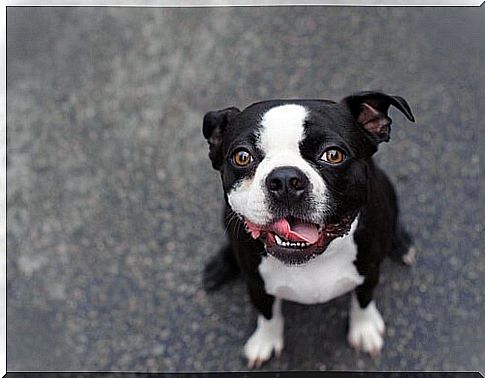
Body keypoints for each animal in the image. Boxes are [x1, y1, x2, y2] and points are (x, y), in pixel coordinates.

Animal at [200, 90, 416, 368]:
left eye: (333, 155)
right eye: (242, 157)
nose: (284, 180)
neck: (315, 259)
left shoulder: (370, 272)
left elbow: (363, 300)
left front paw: (364, 329)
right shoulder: (256, 284)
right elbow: (267, 313)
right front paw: (265, 341)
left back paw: (402, 245)